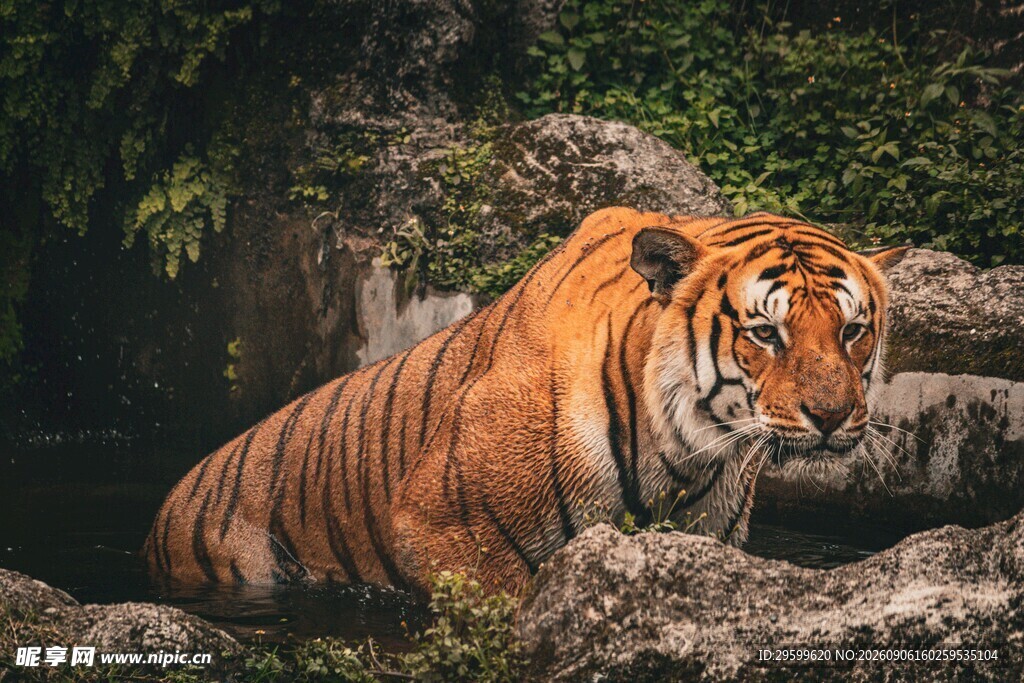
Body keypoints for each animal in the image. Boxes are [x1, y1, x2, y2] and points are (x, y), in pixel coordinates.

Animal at [144, 207, 908, 597]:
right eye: (765, 333)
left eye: (852, 330)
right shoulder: (441, 523)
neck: (687, 455)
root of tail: (167, 505)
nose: (832, 417)